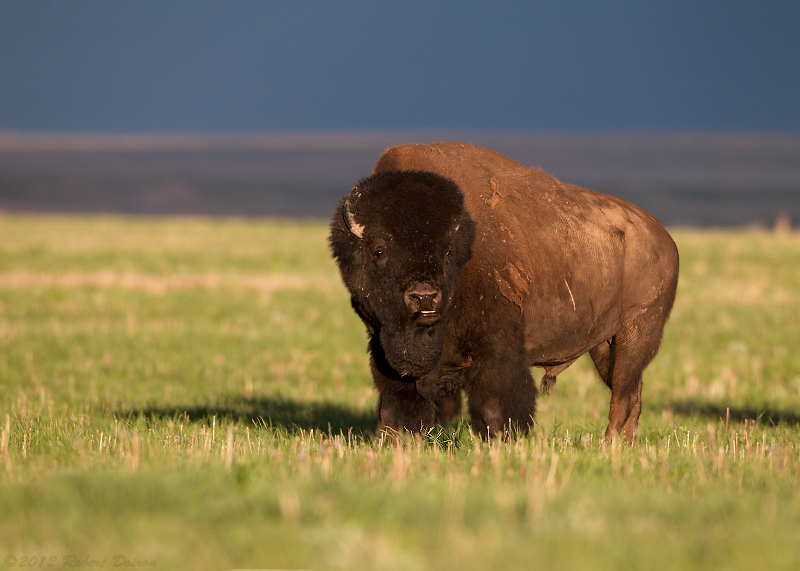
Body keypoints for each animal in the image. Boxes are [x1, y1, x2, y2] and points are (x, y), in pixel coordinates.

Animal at [328, 144, 680, 442]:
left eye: (446, 251)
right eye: (379, 250)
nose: (424, 296)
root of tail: (664, 239)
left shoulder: (497, 348)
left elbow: (497, 403)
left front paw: (503, 440)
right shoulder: (383, 345)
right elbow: (396, 403)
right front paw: (395, 441)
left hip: (634, 336)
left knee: (623, 394)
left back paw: (609, 445)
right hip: (604, 346)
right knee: (632, 394)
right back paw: (623, 445)